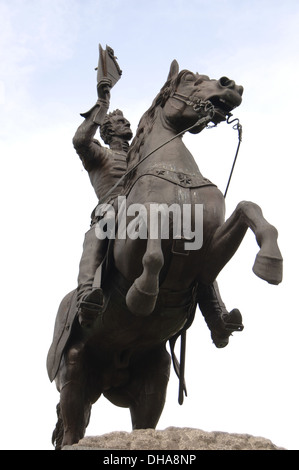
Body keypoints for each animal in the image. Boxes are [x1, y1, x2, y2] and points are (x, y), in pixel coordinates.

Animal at [47, 58, 284, 448]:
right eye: (188, 79)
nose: (231, 85)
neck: (177, 174)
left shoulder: (207, 256)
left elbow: (249, 209)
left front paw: (270, 264)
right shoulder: (134, 244)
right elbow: (154, 232)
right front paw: (143, 295)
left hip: (154, 377)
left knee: (142, 423)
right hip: (75, 370)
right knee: (71, 430)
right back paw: (89, 300)